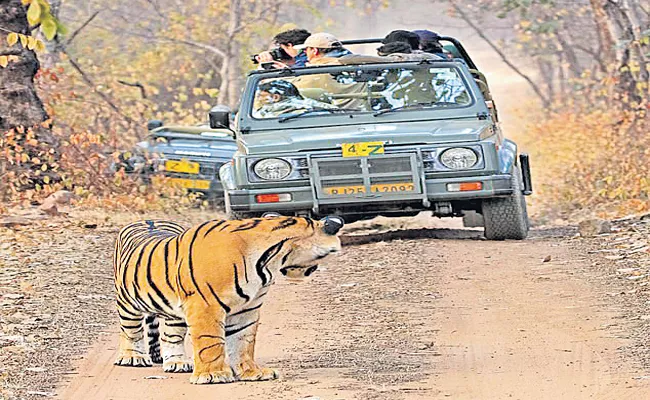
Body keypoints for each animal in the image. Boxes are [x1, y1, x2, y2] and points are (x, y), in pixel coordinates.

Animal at [111, 214, 344, 382]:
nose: (314, 270)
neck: (268, 261)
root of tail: (146, 219)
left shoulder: (247, 309)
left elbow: (243, 342)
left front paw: (251, 372)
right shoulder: (205, 305)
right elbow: (210, 342)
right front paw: (213, 375)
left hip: (174, 313)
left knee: (171, 336)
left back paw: (177, 363)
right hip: (128, 303)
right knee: (131, 331)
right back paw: (133, 357)